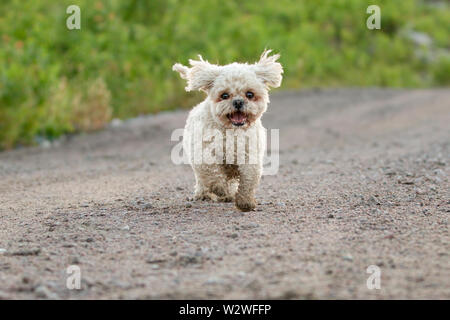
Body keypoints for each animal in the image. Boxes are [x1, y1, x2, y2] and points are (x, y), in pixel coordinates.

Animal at [174, 49, 284, 210]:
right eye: (224, 95)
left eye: (249, 94)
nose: (238, 102)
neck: (232, 131)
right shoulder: (204, 154)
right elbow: (213, 173)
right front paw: (220, 188)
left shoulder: (249, 156)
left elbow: (248, 180)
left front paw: (245, 202)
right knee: (203, 180)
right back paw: (205, 194)